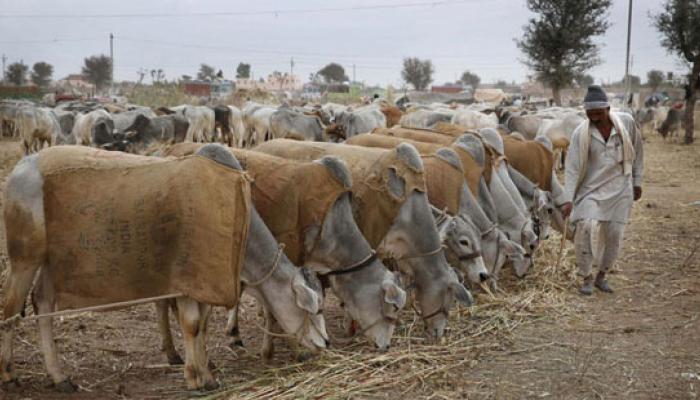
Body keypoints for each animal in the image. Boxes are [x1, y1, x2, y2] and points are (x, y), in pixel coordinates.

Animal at [0, 145, 328, 392]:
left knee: (43, 301)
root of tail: (22, 166)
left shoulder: (204, 283)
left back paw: (59, 376)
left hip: (51, 261)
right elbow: (192, 325)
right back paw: (9, 372)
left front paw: (206, 374)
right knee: (11, 308)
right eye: (314, 308)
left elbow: (202, 326)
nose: (324, 343)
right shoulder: (187, 281)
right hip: (25, 257)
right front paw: (195, 379)